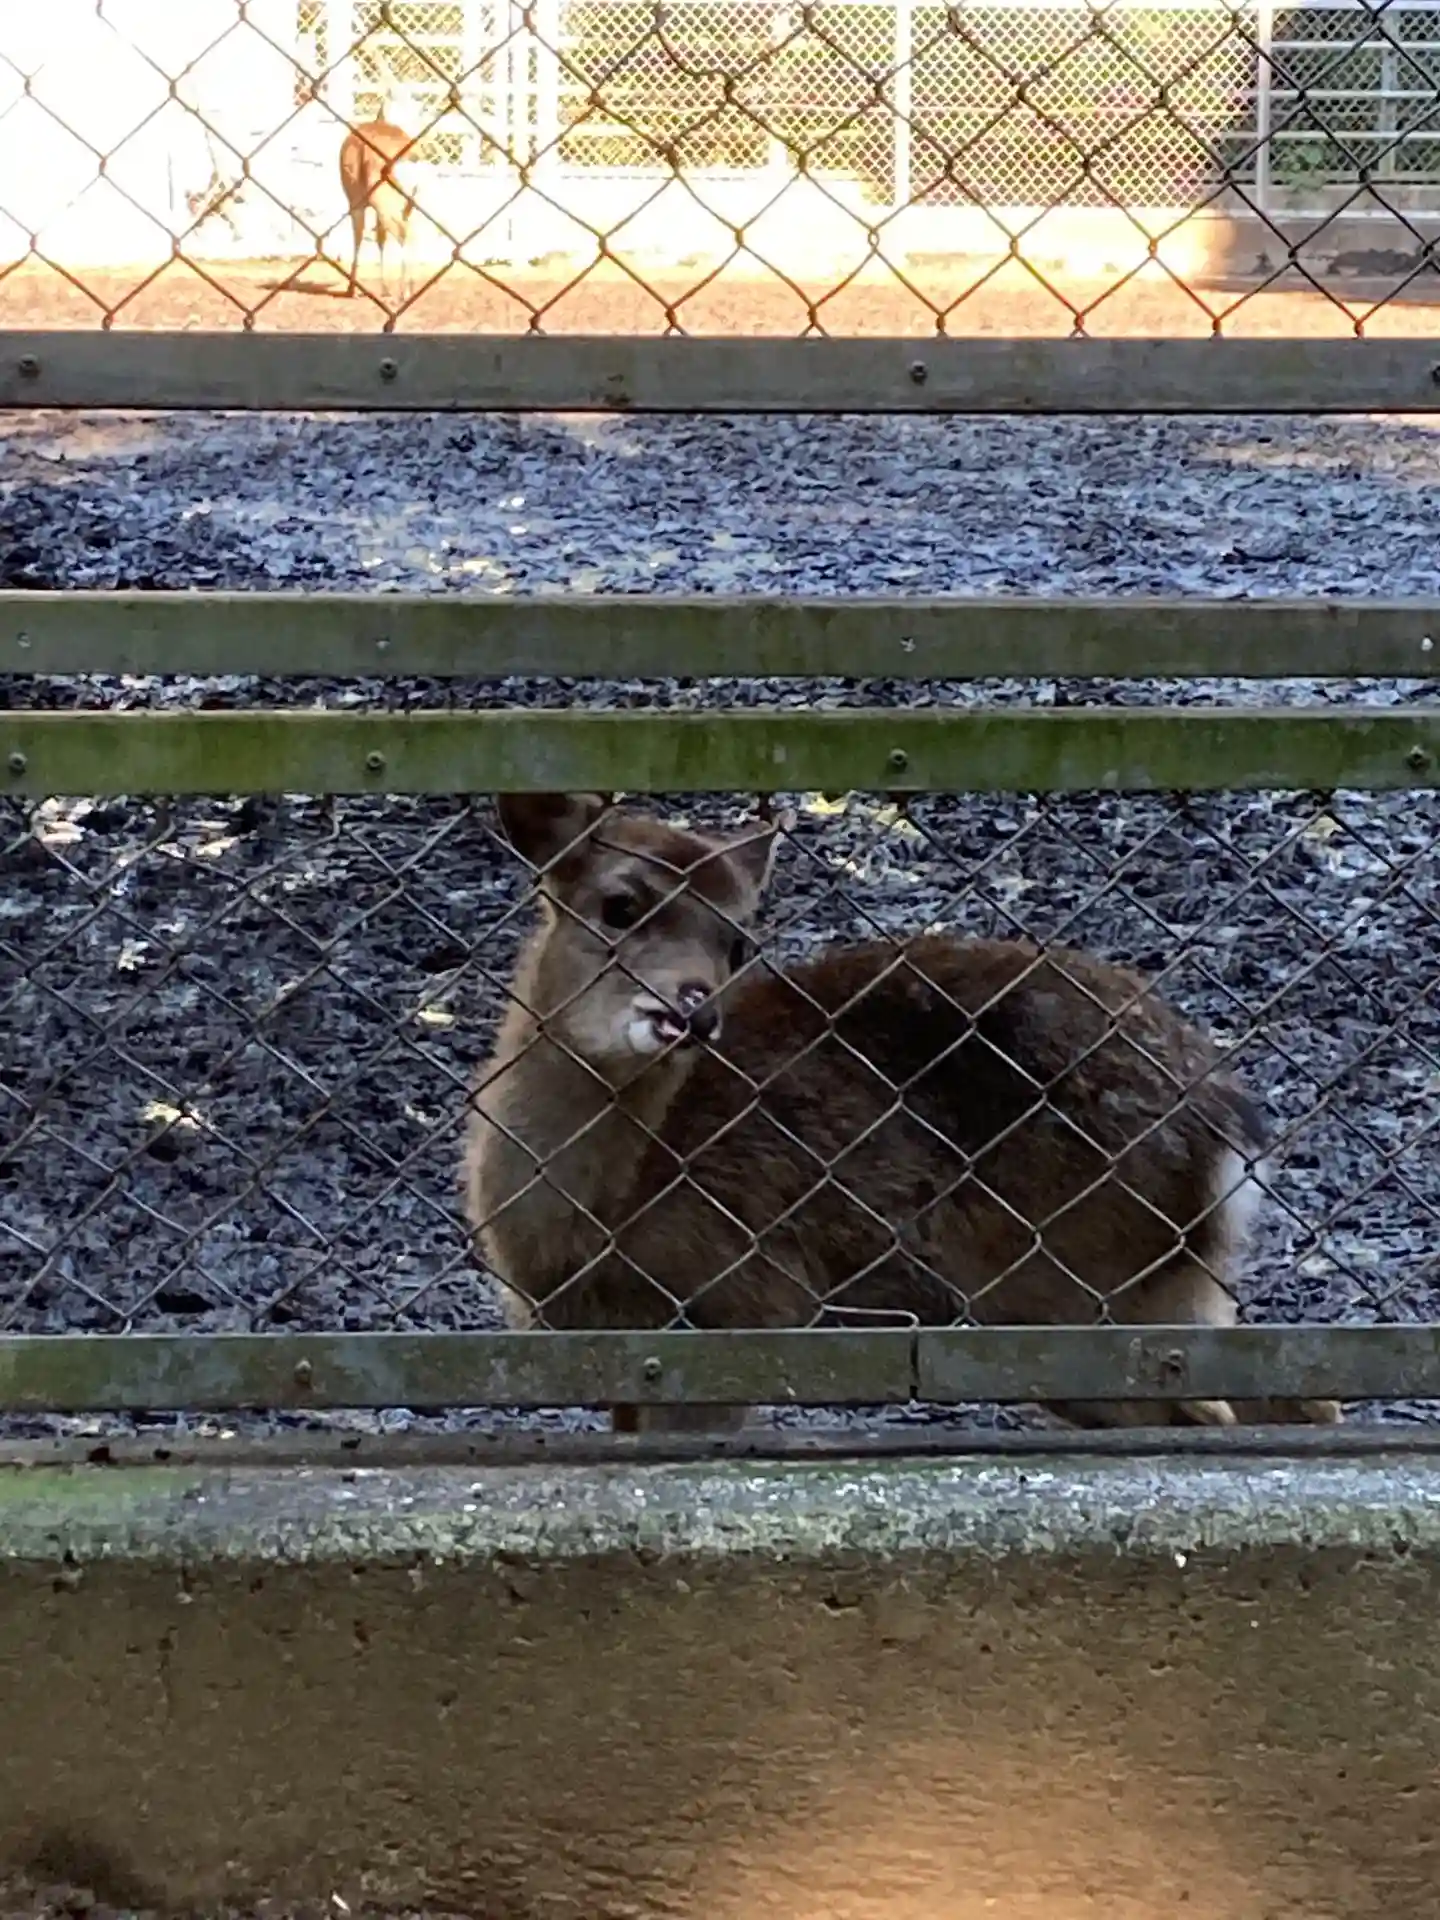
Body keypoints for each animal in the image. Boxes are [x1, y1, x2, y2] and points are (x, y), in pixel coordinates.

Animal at [339, 115, 417, 299]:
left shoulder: (357, 204)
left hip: (371, 204)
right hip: (392, 205)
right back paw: (406, 290)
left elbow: (369, 238)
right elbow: (381, 238)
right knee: (404, 233)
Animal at [464, 793, 1343, 1436]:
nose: (694, 1007)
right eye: (618, 905)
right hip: (1169, 1288)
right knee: (1291, 1394)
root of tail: (1228, 1130)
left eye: (738, 939)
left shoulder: (741, 1306)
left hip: (1075, 1282)